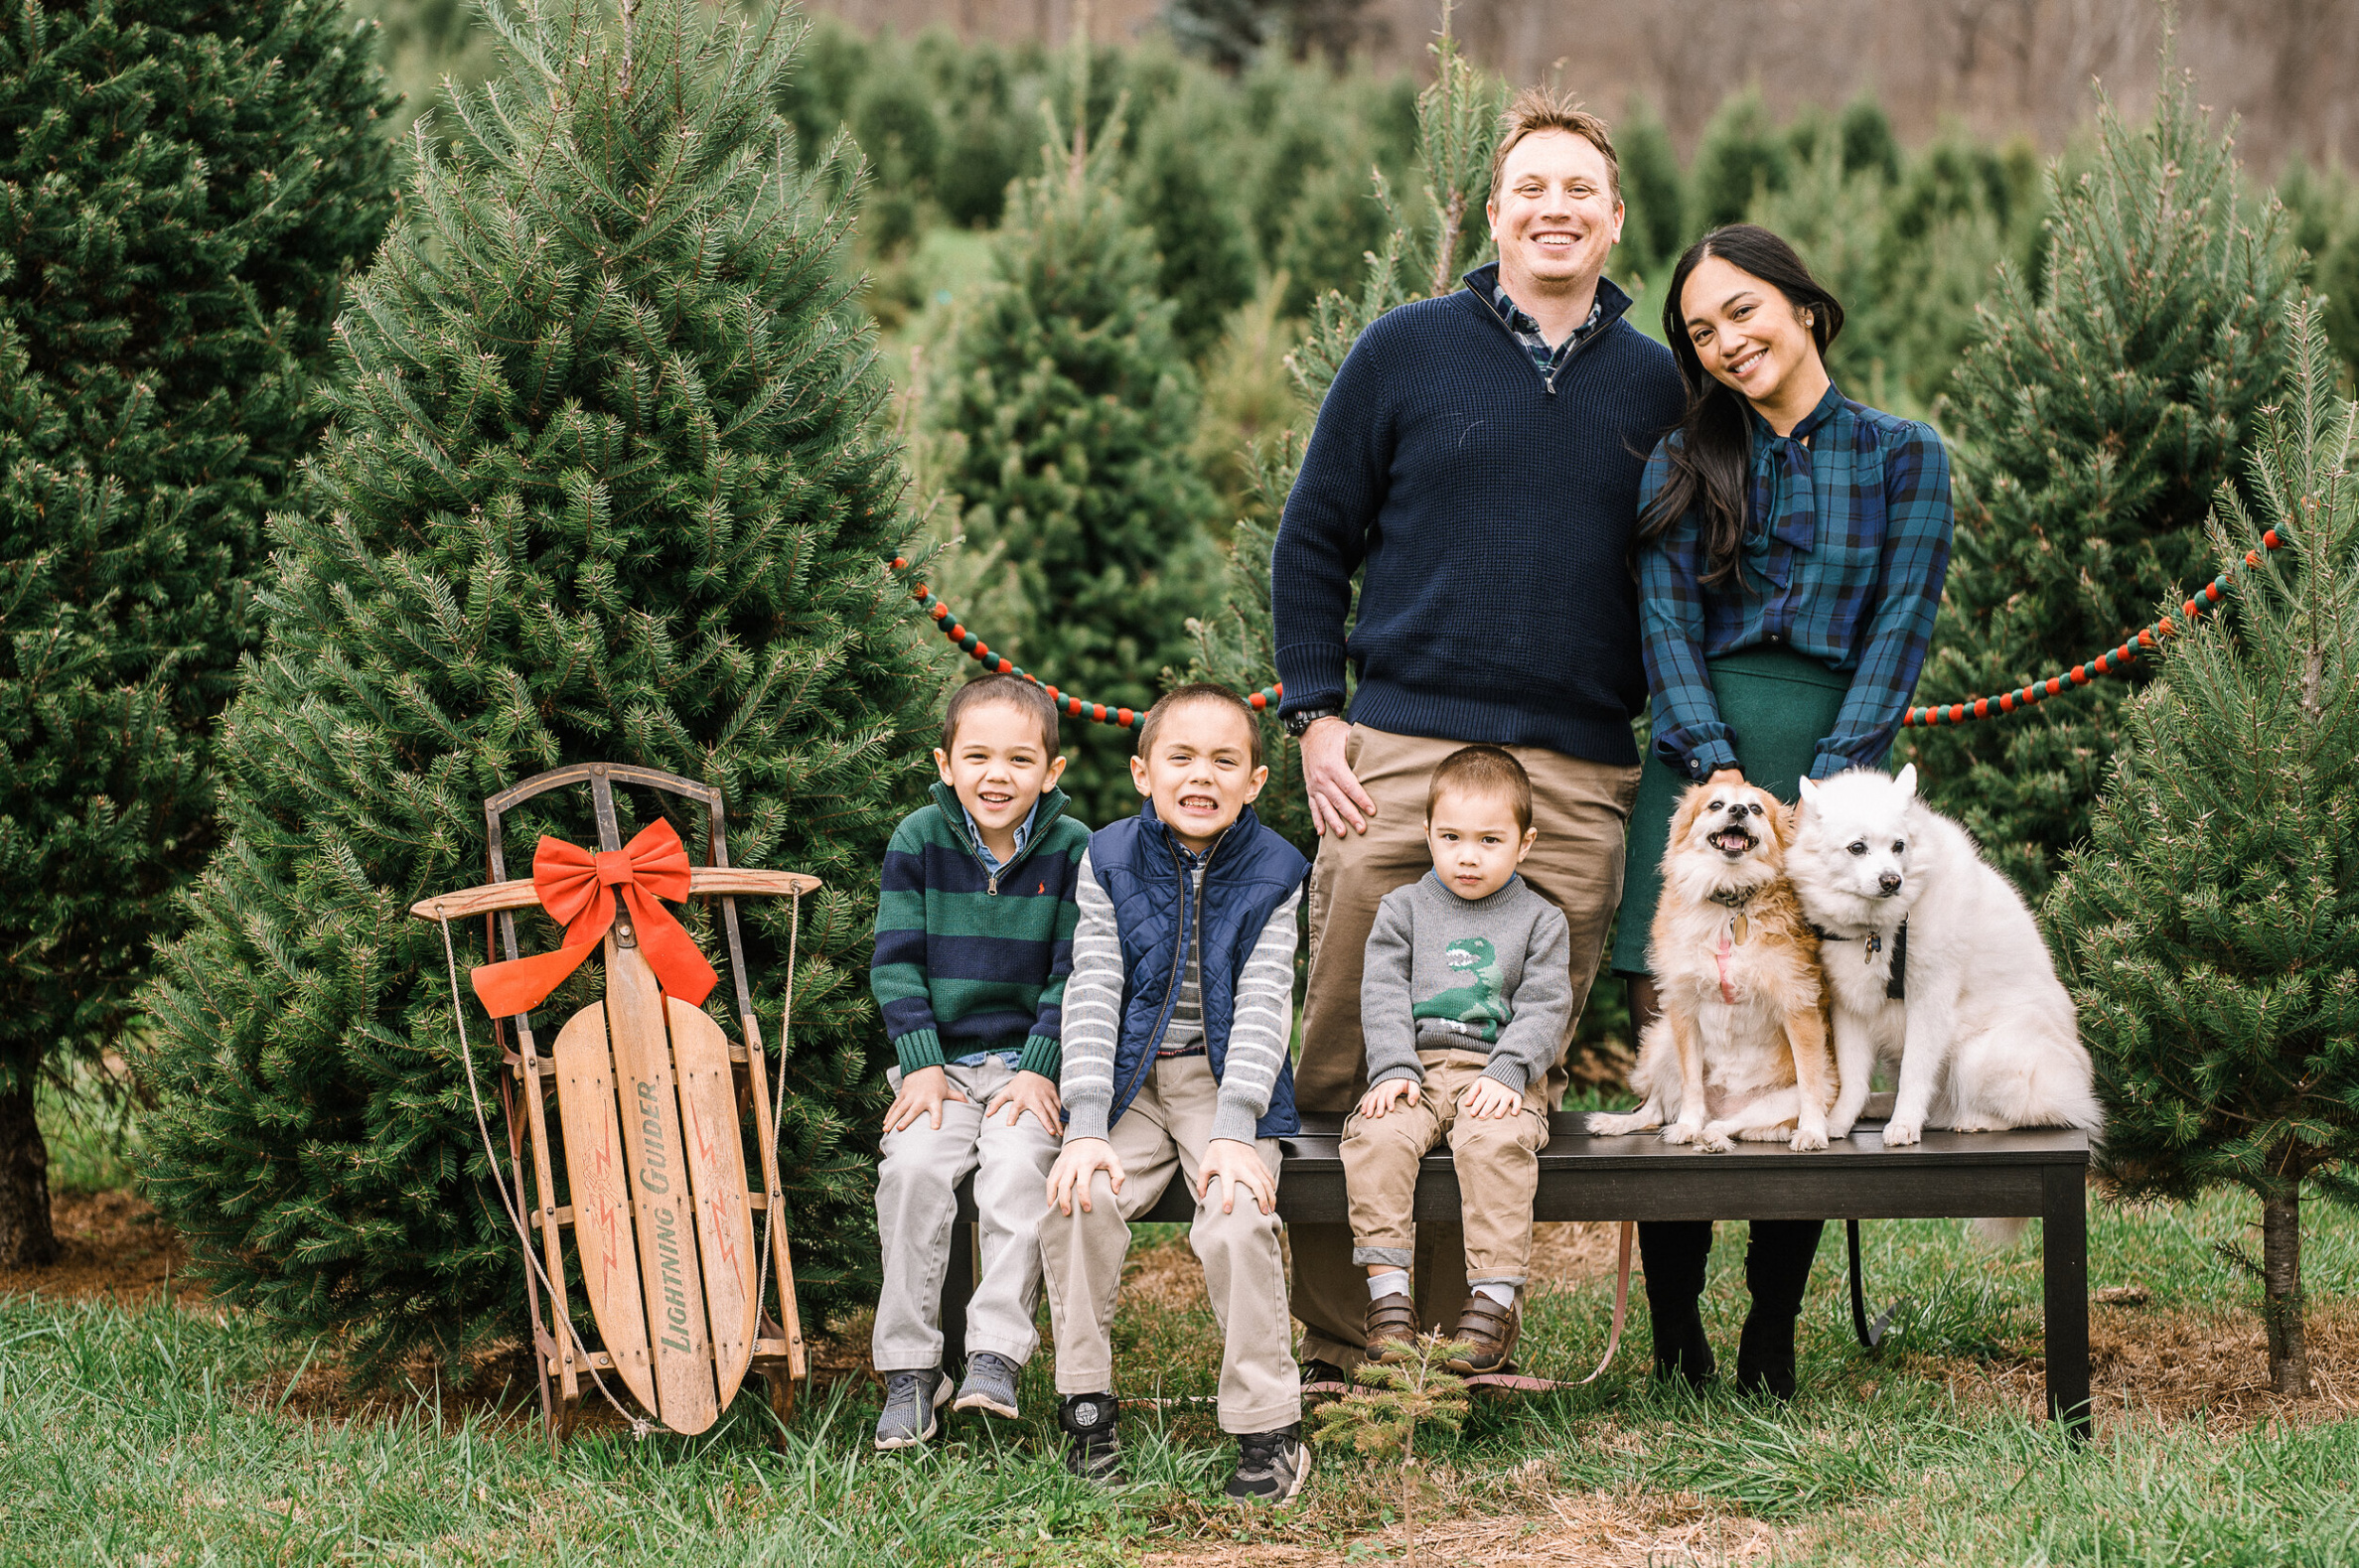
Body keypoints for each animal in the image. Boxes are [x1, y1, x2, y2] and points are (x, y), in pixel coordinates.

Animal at [1585, 778, 1840, 1150]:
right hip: (1662, 1042)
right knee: (1655, 1110)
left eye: (1756, 808)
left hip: (1769, 1105)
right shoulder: (1684, 1010)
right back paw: (1620, 1123)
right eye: (1716, 805)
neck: (1729, 901)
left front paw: (1812, 1131)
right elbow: (1691, 1082)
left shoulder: (1798, 1006)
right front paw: (1687, 1125)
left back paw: (1714, 1137)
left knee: (1727, 1124)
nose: (1739, 810)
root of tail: (1725, 1105)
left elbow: (1811, 1082)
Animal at [1783, 764, 2104, 1145]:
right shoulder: (1850, 1007)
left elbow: (1915, 1073)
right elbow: (1853, 1079)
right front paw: (1835, 1124)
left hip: (1979, 1056)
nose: (1892, 881)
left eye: (1899, 846)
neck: (1882, 930)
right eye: (1857, 847)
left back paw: (1975, 1120)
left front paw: (1904, 1124)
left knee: (2034, 1114)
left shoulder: (1929, 1002)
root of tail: (2080, 1087)